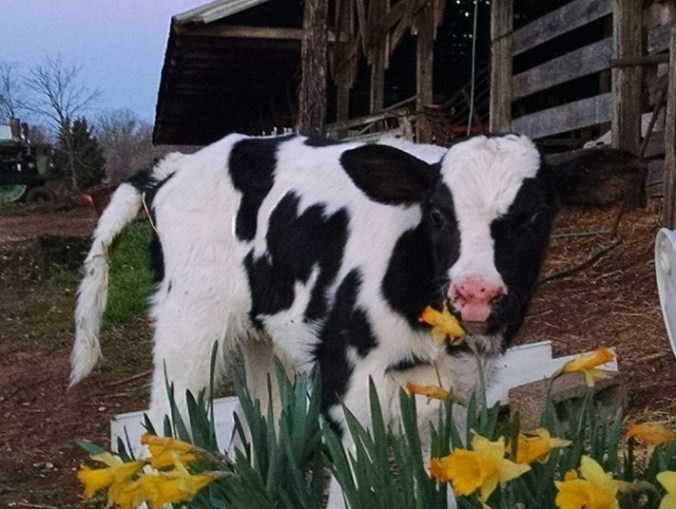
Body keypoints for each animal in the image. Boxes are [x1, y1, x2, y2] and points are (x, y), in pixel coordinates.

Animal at [70, 132, 592, 504]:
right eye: (438, 214)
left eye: (536, 218)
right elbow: (353, 486)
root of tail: (175, 166)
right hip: (188, 323)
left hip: (261, 337)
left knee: (261, 424)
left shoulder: (460, 393)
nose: (476, 294)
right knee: (163, 427)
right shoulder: (346, 386)